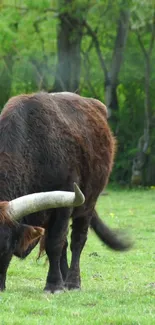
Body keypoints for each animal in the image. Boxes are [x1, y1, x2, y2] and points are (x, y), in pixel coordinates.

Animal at [0, 91, 131, 292]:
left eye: (5, 246)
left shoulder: (64, 204)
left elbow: (55, 243)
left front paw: (54, 285)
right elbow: (56, 244)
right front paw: (57, 280)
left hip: (88, 203)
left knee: (77, 240)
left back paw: (72, 282)